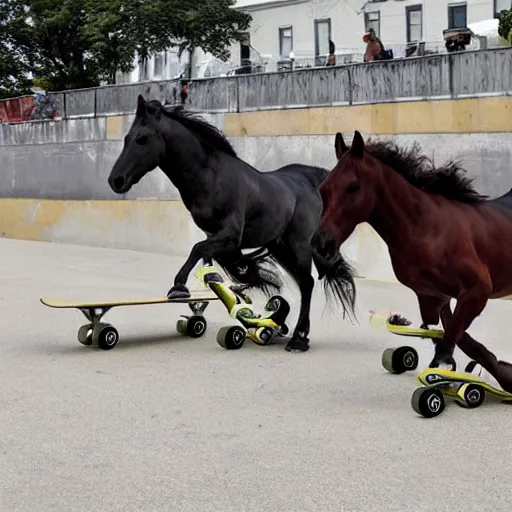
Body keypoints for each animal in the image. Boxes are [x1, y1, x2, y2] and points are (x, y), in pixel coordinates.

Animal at [108, 95, 356, 352]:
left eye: (142, 139)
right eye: (127, 138)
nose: (116, 180)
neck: (211, 177)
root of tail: (313, 181)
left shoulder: (230, 235)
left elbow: (197, 249)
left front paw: (179, 287)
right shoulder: (218, 238)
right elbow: (220, 263)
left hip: (300, 244)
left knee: (307, 283)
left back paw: (299, 339)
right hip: (280, 247)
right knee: (302, 281)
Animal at [314, 131, 512, 392]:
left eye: (352, 187)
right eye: (323, 189)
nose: (321, 244)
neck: (428, 228)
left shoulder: (477, 290)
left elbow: (451, 339)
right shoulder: (435, 297)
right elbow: (456, 337)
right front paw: (501, 373)